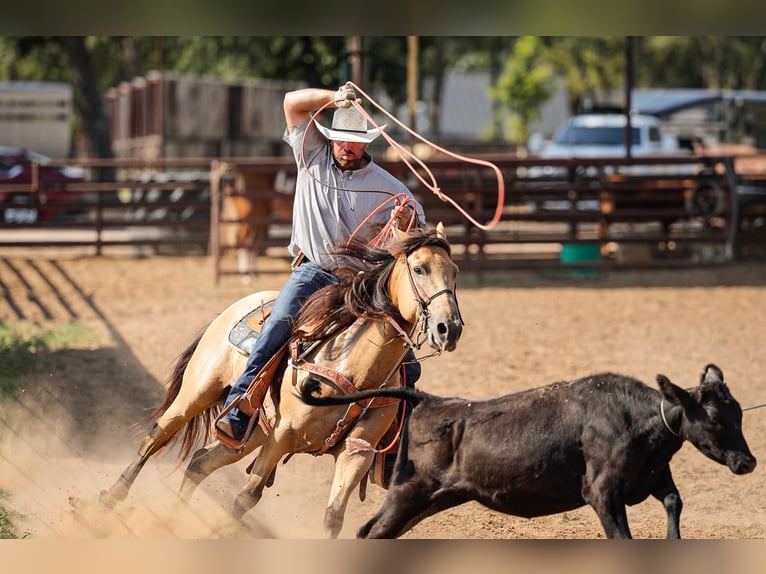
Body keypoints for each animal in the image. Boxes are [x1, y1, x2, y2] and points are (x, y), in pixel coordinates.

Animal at [99, 223, 463, 538]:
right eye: (420, 269)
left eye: (455, 272)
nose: (450, 328)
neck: (353, 369)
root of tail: (240, 303)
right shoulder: (283, 434)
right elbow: (247, 496)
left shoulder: (357, 450)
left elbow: (333, 516)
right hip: (198, 393)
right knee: (157, 436)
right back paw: (110, 497)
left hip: (253, 431)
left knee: (200, 462)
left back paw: (175, 517)